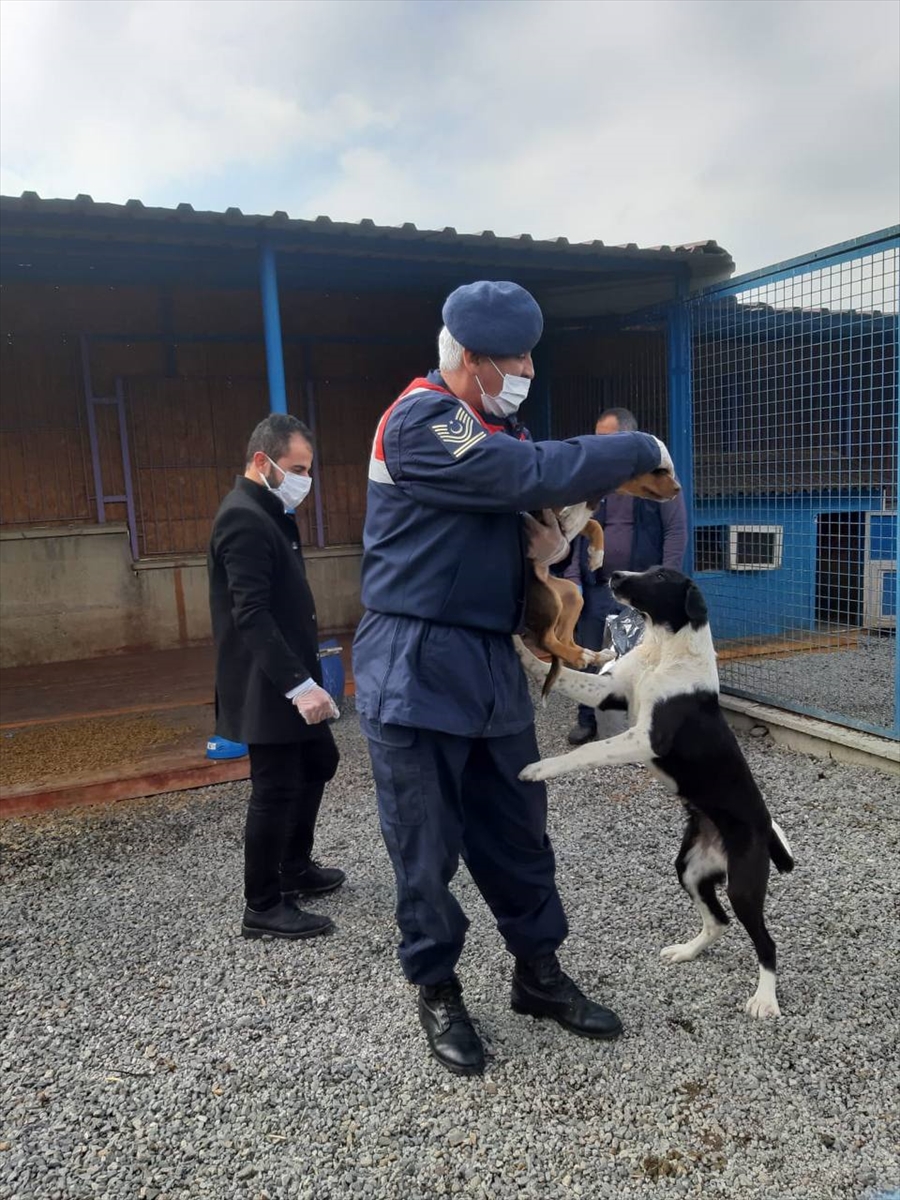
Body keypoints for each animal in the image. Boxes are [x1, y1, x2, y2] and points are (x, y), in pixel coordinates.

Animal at [513, 566, 796, 1017]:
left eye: (661, 575)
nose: (613, 574)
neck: (664, 648)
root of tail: (766, 828)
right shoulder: (607, 691)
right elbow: (551, 671)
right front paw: (518, 645)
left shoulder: (647, 739)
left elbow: (589, 751)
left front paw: (539, 769)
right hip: (690, 868)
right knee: (718, 921)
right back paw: (686, 951)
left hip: (743, 885)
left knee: (766, 942)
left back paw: (764, 999)